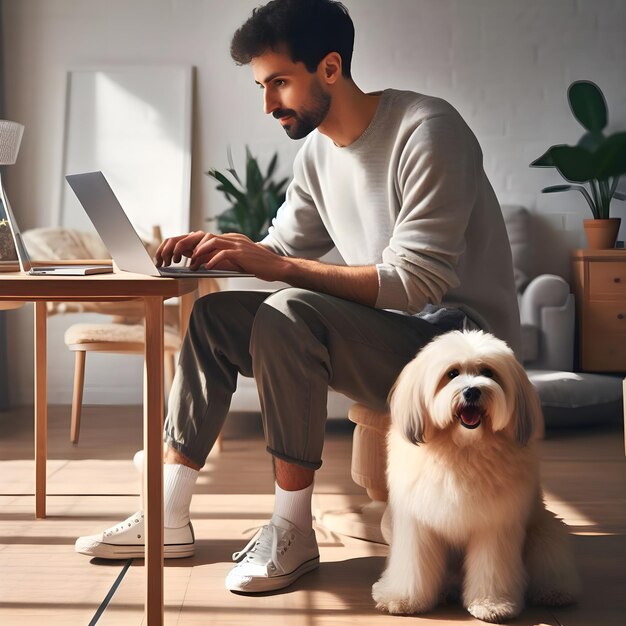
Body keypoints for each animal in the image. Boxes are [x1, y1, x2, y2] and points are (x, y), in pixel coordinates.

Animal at [370, 330, 580, 620]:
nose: (472, 391)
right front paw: (403, 599)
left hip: (545, 535)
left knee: (551, 566)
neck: (464, 449)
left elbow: (491, 568)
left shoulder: (494, 526)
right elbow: (413, 566)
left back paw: (555, 593)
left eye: (488, 372)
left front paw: (492, 604)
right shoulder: (418, 525)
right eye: (452, 373)